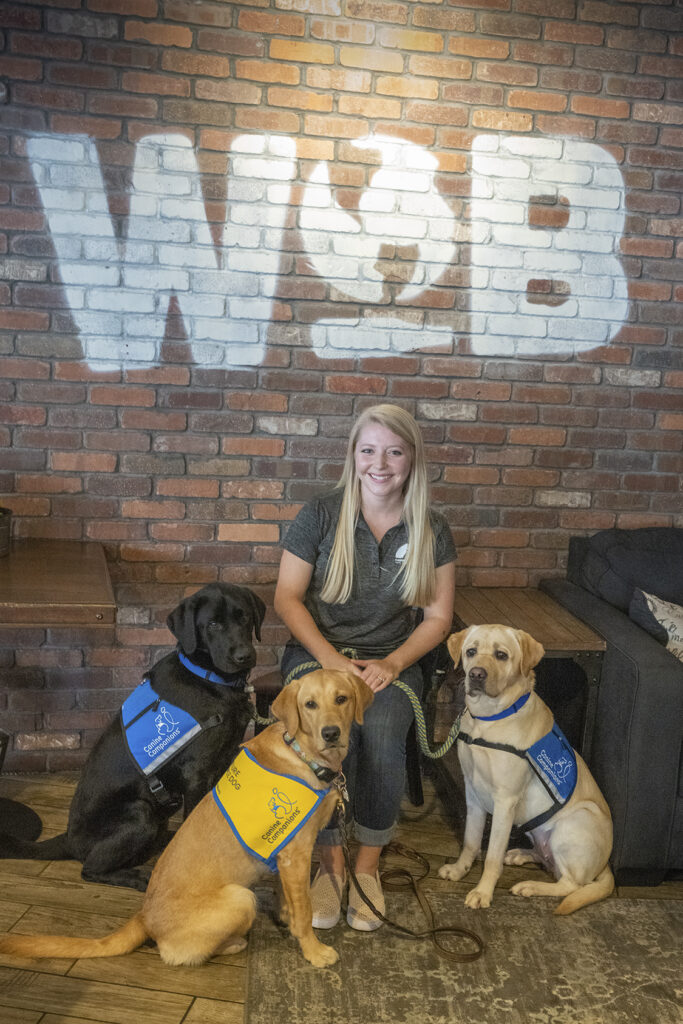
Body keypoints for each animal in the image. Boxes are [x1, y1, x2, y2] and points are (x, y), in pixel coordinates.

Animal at [0, 585, 264, 888]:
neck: (208, 678)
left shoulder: (223, 761)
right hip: (140, 813)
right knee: (90, 869)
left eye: (245, 618)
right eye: (212, 624)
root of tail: (68, 838)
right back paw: (139, 878)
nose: (244, 655)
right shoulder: (197, 773)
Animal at [0, 671, 370, 966]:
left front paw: (285, 916)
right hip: (240, 897)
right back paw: (234, 943)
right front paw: (314, 951)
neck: (303, 755)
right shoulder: (297, 853)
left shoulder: (284, 854)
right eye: (310, 704)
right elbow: (304, 910)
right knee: (181, 952)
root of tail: (144, 917)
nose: (331, 733)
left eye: (342, 699)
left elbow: (289, 897)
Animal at [440, 626, 618, 917]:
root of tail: (606, 866)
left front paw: (482, 892)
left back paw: (530, 886)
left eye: (501, 655)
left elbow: (491, 856)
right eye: (471, 651)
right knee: (547, 860)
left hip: (576, 821)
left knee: (570, 884)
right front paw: (459, 870)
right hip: (538, 832)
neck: (488, 720)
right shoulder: (472, 792)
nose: (476, 674)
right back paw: (520, 854)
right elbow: (471, 841)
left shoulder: (505, 801)